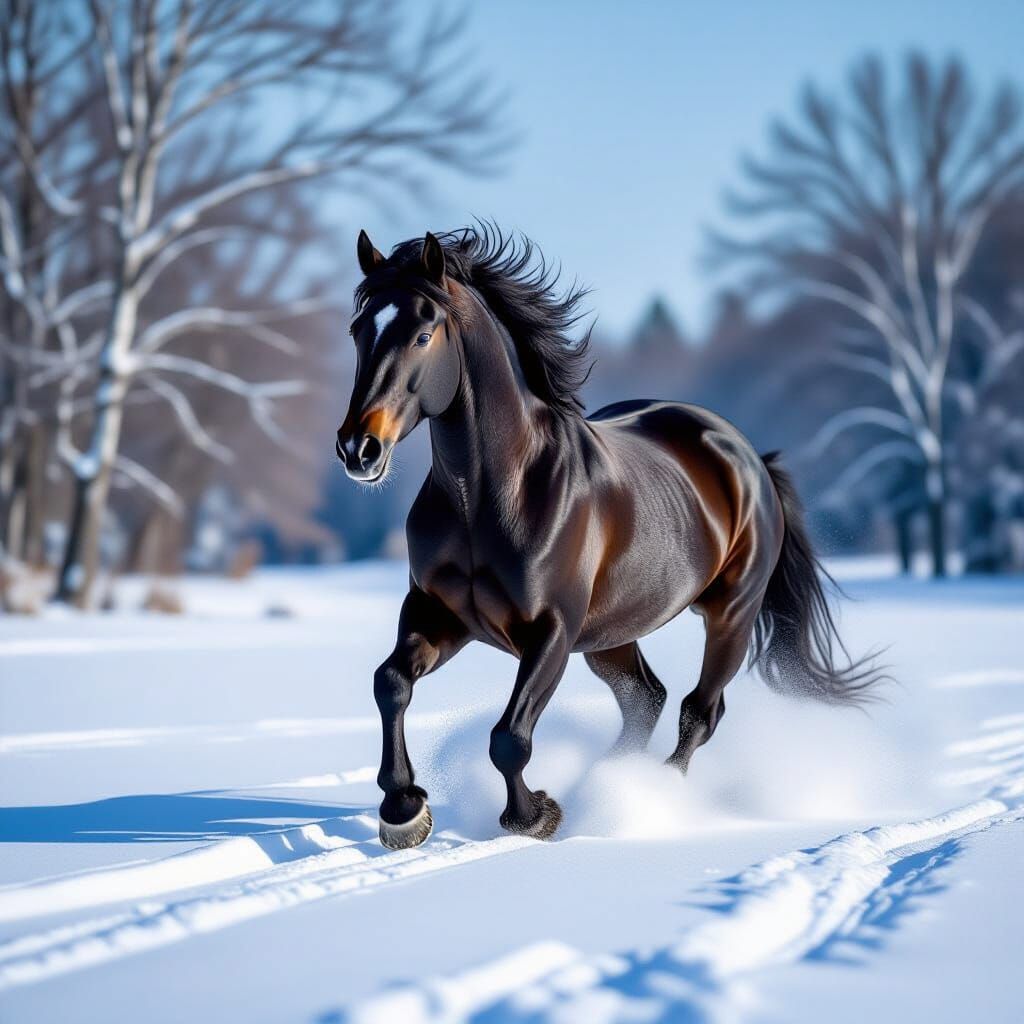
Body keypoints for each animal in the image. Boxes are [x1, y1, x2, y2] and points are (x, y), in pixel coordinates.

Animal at [337, 225, 879, 850]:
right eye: (359, 330)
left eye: (424, 334)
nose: (358, 449)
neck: (490, 497)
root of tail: (749, 457)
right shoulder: (439, 614)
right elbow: (391, 684)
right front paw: (403, 810)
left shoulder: (551, 631)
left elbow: (509, 738)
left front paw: (534, 816)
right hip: (613, 634)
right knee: (648, 699)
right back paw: (607, 781)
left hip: (731, 614)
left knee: (699, 711)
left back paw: (646, 796)